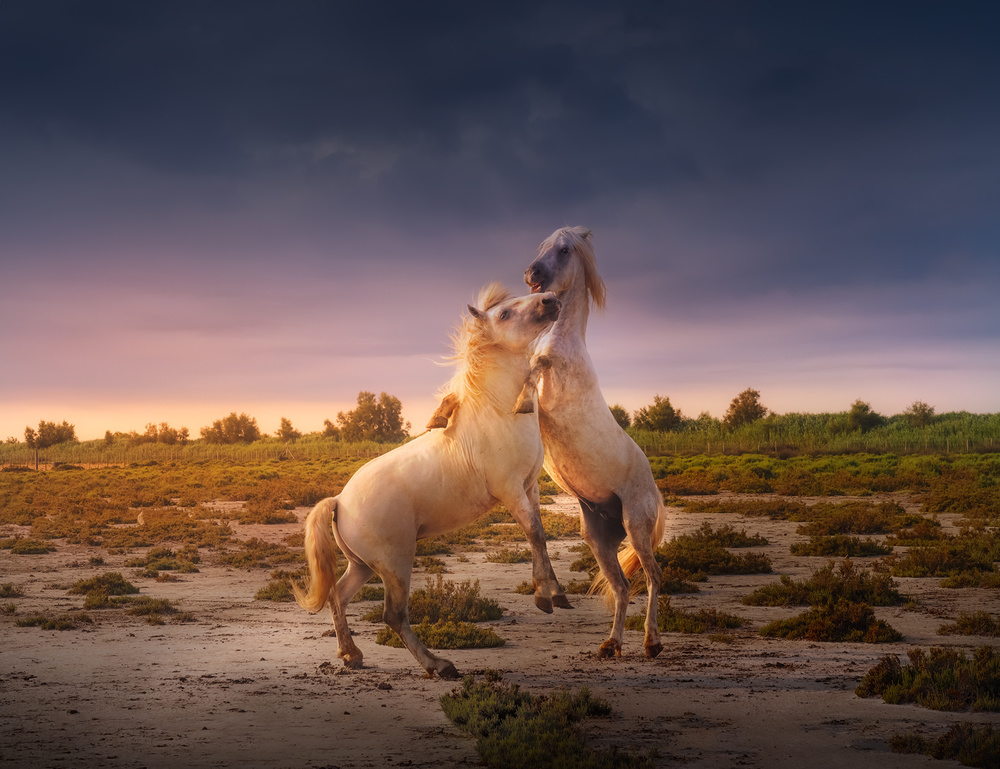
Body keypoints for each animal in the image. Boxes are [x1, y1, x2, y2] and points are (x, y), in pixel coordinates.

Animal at [292, 286, 568, 680]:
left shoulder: (530, 487)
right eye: (503, 314)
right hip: (395, 564)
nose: (550, 299)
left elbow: (539, 534)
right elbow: (534, 532)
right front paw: (547, 597)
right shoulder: (511, 490)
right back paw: (440, 664)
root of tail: (340, 502)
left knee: (337, 596)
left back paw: (352, 655)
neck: (500, 413)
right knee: (394, 616)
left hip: (363, 566)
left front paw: (553, 593)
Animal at [520, 225, 668, 656]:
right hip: (599, 540)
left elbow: (532, 373)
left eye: (564, 250)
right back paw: (611, 644)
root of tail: (656, 493)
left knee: (653, 577)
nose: (531, 275)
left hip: (637, 527)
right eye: (542, 246)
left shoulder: (549, 394)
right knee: (622, 586)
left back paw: (652, 642)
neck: (562, 341)